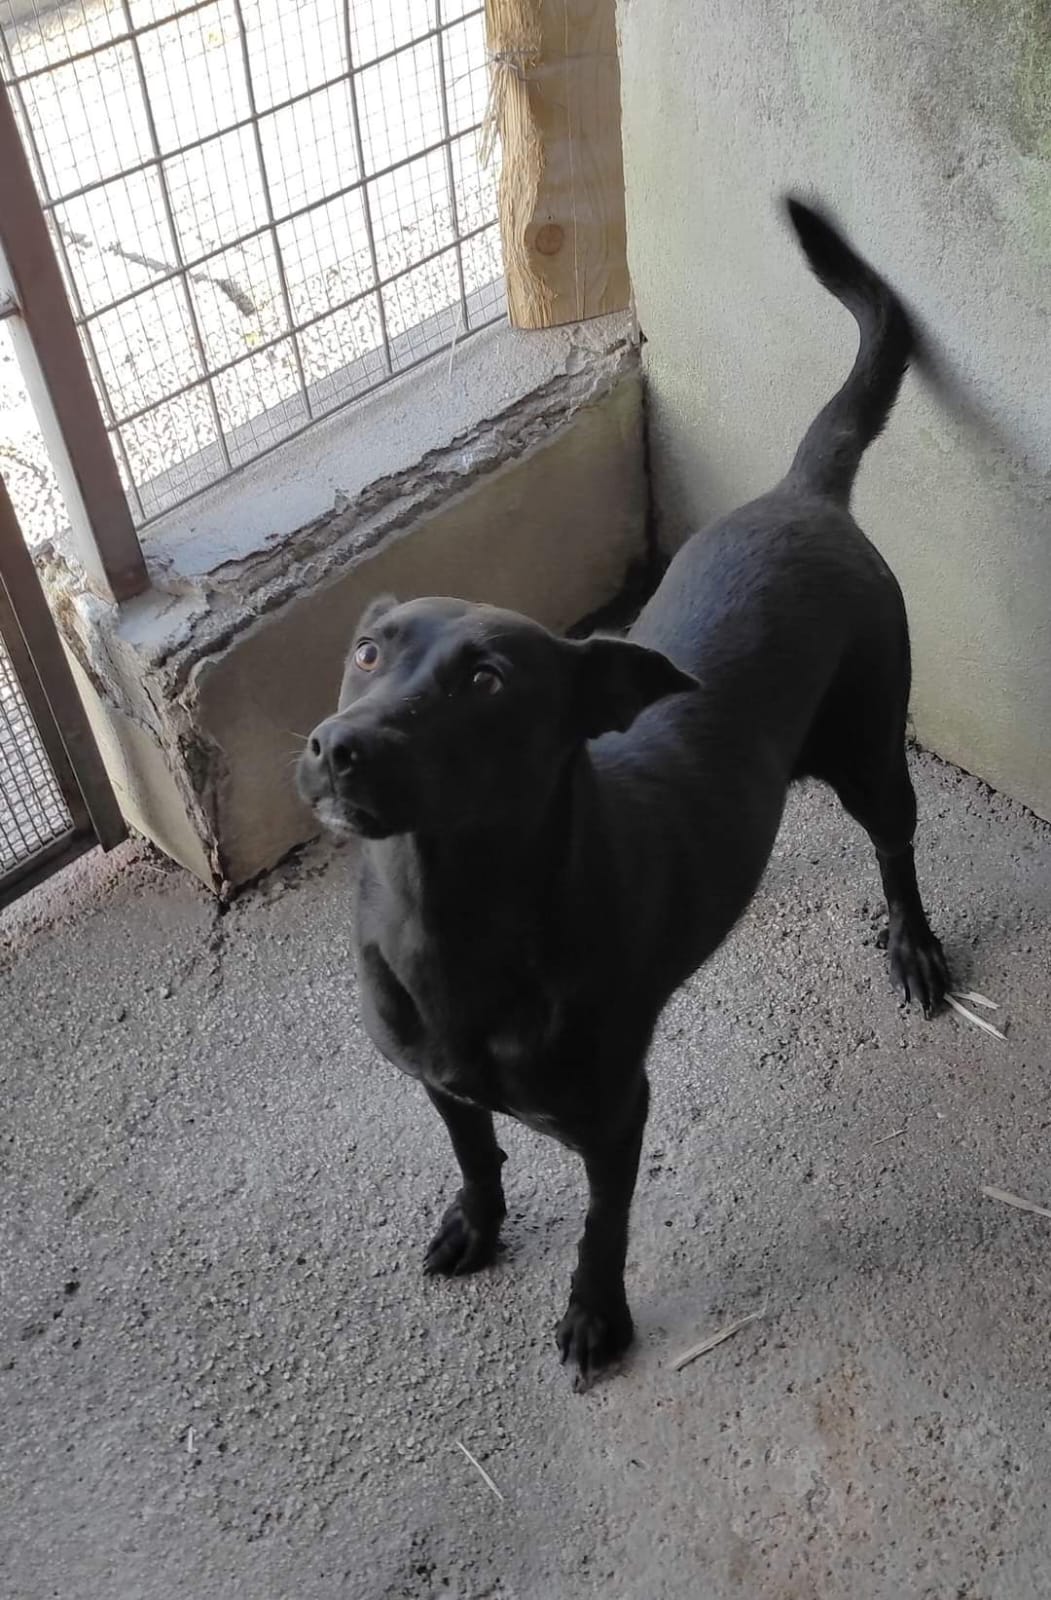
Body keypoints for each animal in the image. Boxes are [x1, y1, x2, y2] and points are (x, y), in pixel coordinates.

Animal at [297, 198, 950, 1388]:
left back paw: (912, 944)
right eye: (368, 652)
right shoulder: (437, 1083)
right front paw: (478, 1222)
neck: (449, 918)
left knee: (895, 848)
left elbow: (603, 1228)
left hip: (875, 752)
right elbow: (477, 1154)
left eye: (486, 680)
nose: (336, 746)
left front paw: (595, 1314)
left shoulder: (614, 1115)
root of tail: (797, 495)